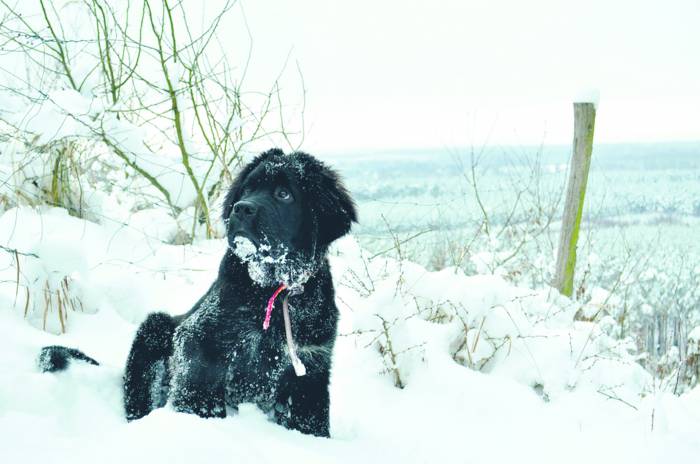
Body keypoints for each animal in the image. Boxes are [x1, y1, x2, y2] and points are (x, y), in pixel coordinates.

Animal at [38, 150, 356, 438]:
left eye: (284, 194)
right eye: (248, 189)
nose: (241, 208)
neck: (272, 292)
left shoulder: (312, 365)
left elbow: (311, 418)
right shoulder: (200, 340)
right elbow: (198, 393)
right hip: (154, 329)